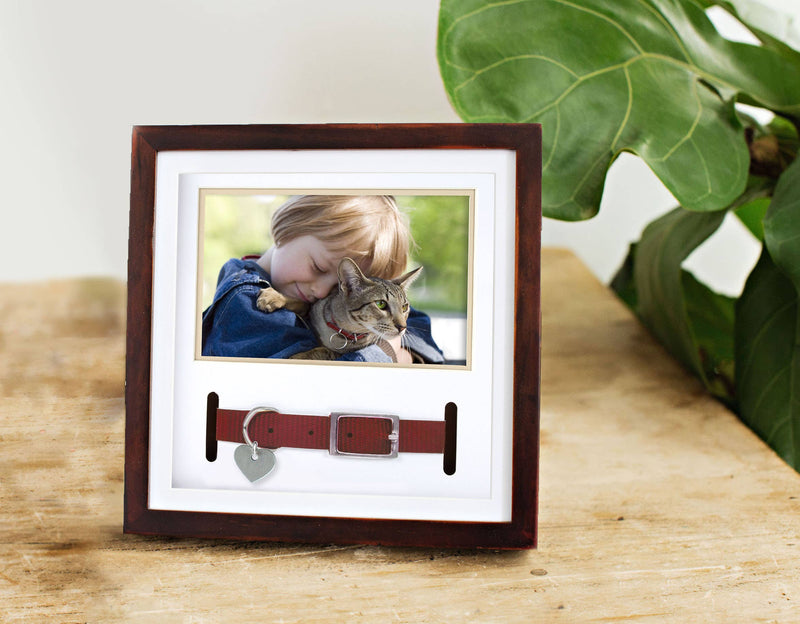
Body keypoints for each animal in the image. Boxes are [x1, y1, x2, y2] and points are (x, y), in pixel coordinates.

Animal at [256, 255, 422, 360]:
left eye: (404, 307)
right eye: (381, 304)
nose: (403, 327)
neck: (342, 330)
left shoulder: (342, 353)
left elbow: (325, 351)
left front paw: (299, 356)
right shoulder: (313, 308)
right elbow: (301, 302)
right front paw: (274, 296)